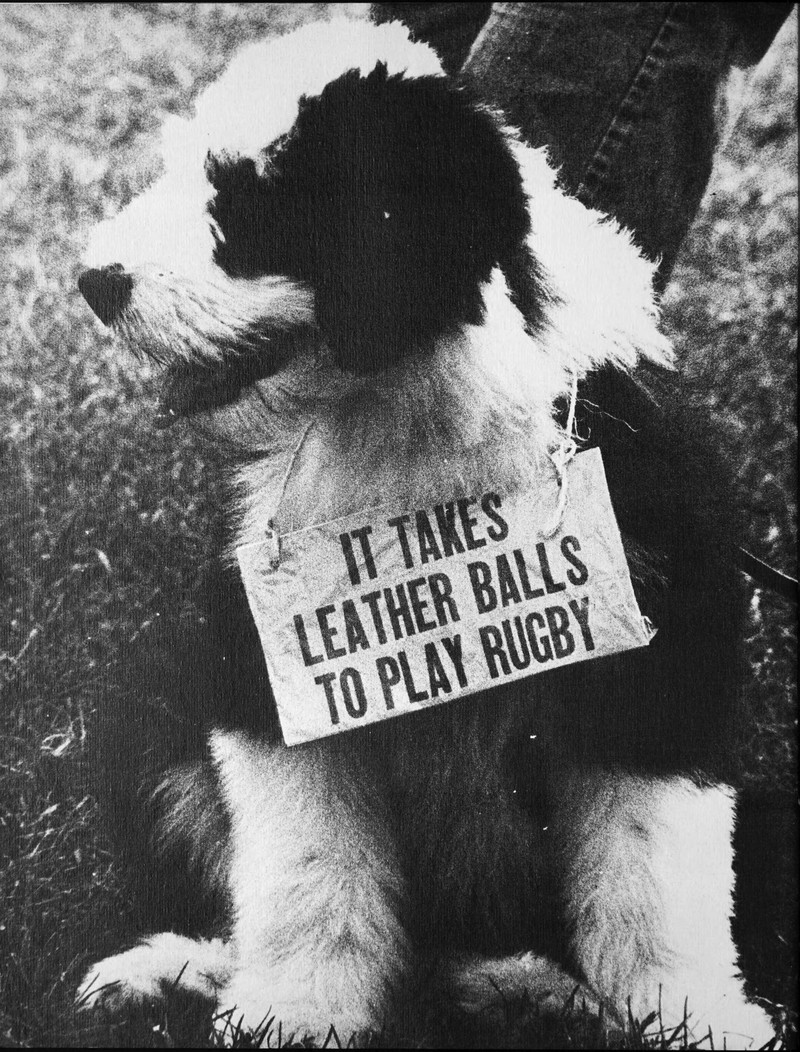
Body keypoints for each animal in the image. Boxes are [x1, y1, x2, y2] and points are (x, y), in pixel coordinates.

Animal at [75, 15, 775, 1047]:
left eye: (247, 197)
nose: (94, 281)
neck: (409, 417)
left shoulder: (664, 640)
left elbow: (654, 868)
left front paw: (695, 1017)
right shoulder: (269, 660)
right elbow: (306, 865)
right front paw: (294, 1012)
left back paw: (527, 984)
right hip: (149, 721)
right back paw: (179, 967)